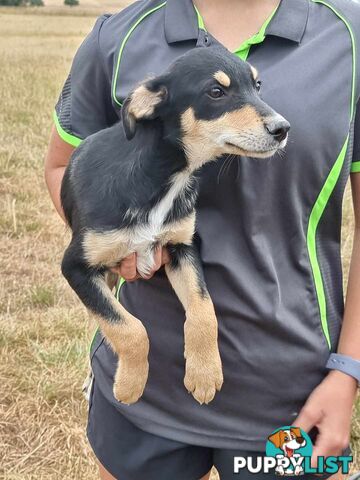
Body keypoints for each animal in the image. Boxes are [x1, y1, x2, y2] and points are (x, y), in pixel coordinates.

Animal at [59, 45, 290, 404]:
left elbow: (204, 308)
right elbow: (129, 328)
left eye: (257, 85)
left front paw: (204, 373)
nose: (282, 129)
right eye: (216, 92)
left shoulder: (182, 246)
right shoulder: (75, 267)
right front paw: (130, 384)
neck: (164, 175)